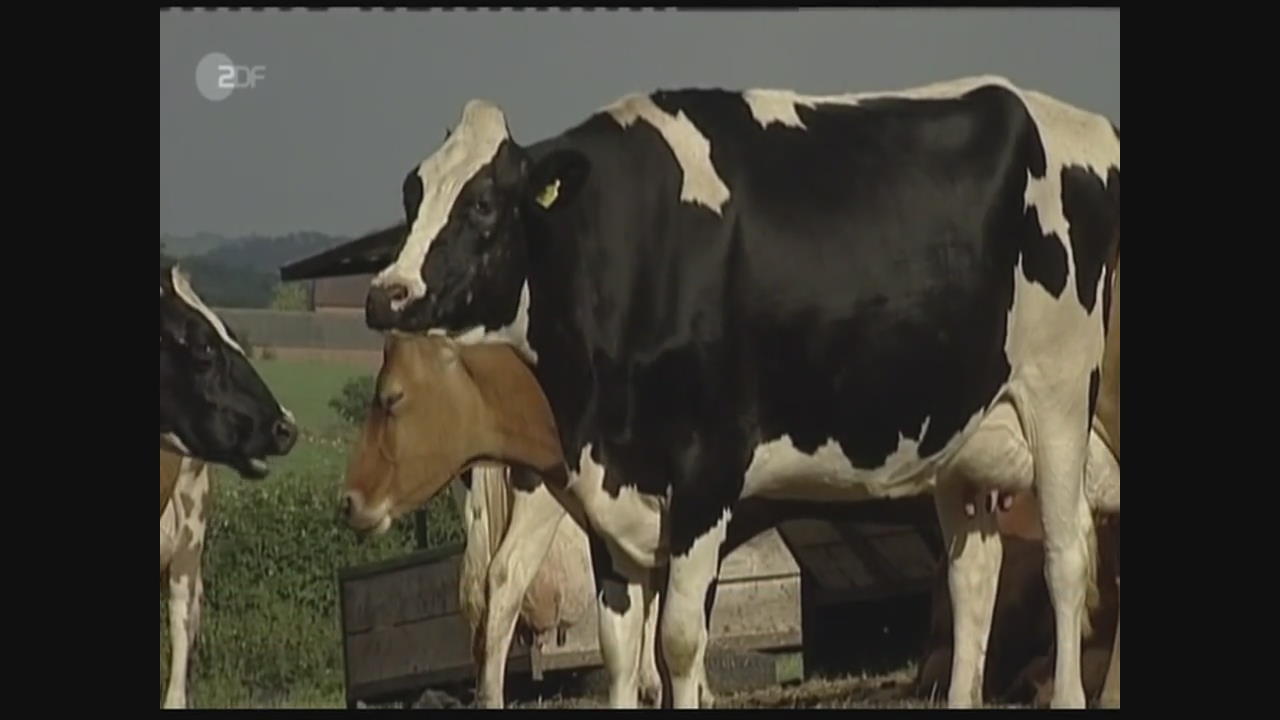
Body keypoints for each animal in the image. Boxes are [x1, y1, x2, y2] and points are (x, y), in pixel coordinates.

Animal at [325, 74, 1116, 707]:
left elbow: (677, 640)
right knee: (972, 580)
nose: (387, 294)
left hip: (1058, 396)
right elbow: (620, 650)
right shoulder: (610, 499)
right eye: (413, 194)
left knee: (1065, 555)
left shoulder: (709, 471)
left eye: (485, 205)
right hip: (963, 442)